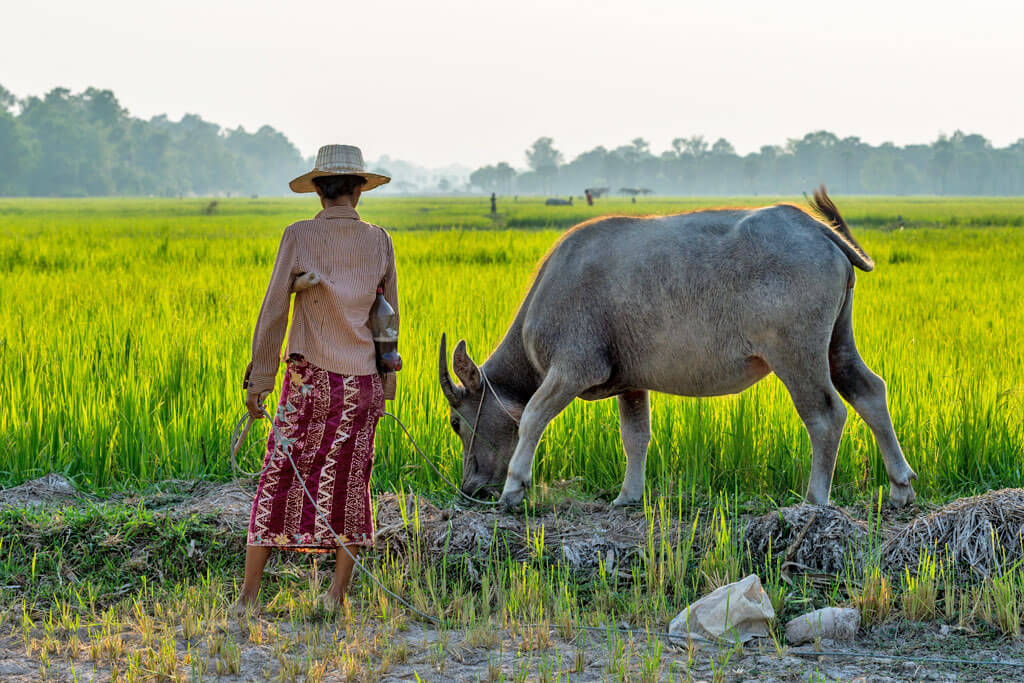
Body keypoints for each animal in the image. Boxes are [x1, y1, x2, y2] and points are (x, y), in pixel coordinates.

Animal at [436, 187, 917, 507]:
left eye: (458, 423)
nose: (469, 488)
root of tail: (814, 227)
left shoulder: (573, 370)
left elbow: (533, 416)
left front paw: (514, 487)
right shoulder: (630, 384)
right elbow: (635, 438)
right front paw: (628, 496)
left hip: (796, 355)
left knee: (825, 414)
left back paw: (815, 498)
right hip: (837, 343)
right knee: (869, 391)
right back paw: (900, 487)